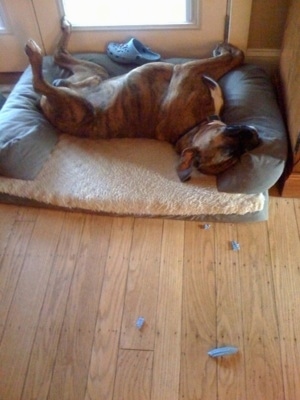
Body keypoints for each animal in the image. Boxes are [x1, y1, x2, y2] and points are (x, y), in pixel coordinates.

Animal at [25, 17, 260, 181]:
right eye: (230, 150)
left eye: (238, 155)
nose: (255, 138)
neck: (194, 127)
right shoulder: (188, 69)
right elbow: (236, 56)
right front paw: (224, 48)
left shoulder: (189, 71)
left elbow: (233, 57)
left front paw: (224, 48)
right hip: (91, 81)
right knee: (46, 74)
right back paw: (42, 52)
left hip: (86, 89)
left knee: (51, 70)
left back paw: (42, 53)